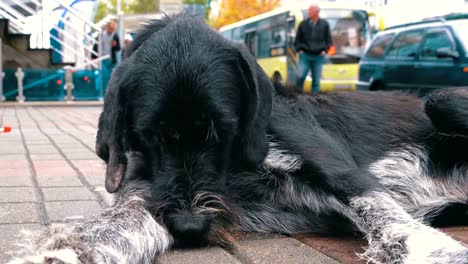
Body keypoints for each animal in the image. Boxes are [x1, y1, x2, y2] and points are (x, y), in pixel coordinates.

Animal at [9, 14, 468, 264]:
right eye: (150, 134)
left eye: (223, 130)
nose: (191, 227)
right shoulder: (149, 194)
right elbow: (120, 223)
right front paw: (67, 250)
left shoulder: (338, 169)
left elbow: (387, 216)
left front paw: (435, 252)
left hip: (441, 100)